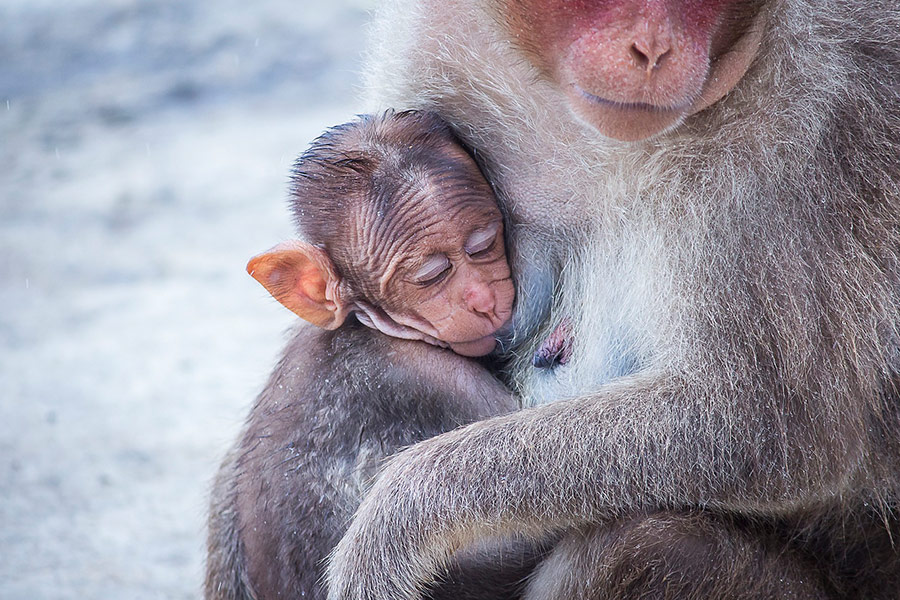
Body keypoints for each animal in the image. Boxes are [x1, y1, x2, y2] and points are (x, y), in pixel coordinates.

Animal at [305, 0, 900, 599]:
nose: (653, 49)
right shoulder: (435, 44)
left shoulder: (805, 128)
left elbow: (762, 426)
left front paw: (393, 526)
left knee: (641, 546)